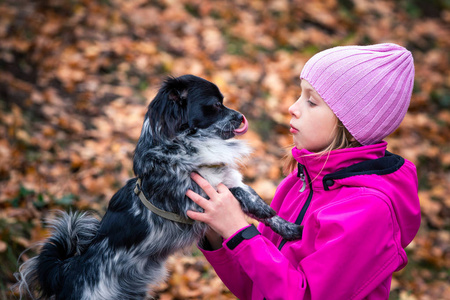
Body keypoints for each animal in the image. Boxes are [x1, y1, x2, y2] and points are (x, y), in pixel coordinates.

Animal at [14, 75, 302, 300]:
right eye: (216, 105)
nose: (241, 116)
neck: (188, 146)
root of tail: (65, 272)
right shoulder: (195, 200)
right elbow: (238, 195)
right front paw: (265, 212)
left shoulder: (227, 180)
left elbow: (252, 197)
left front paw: (288, 228)